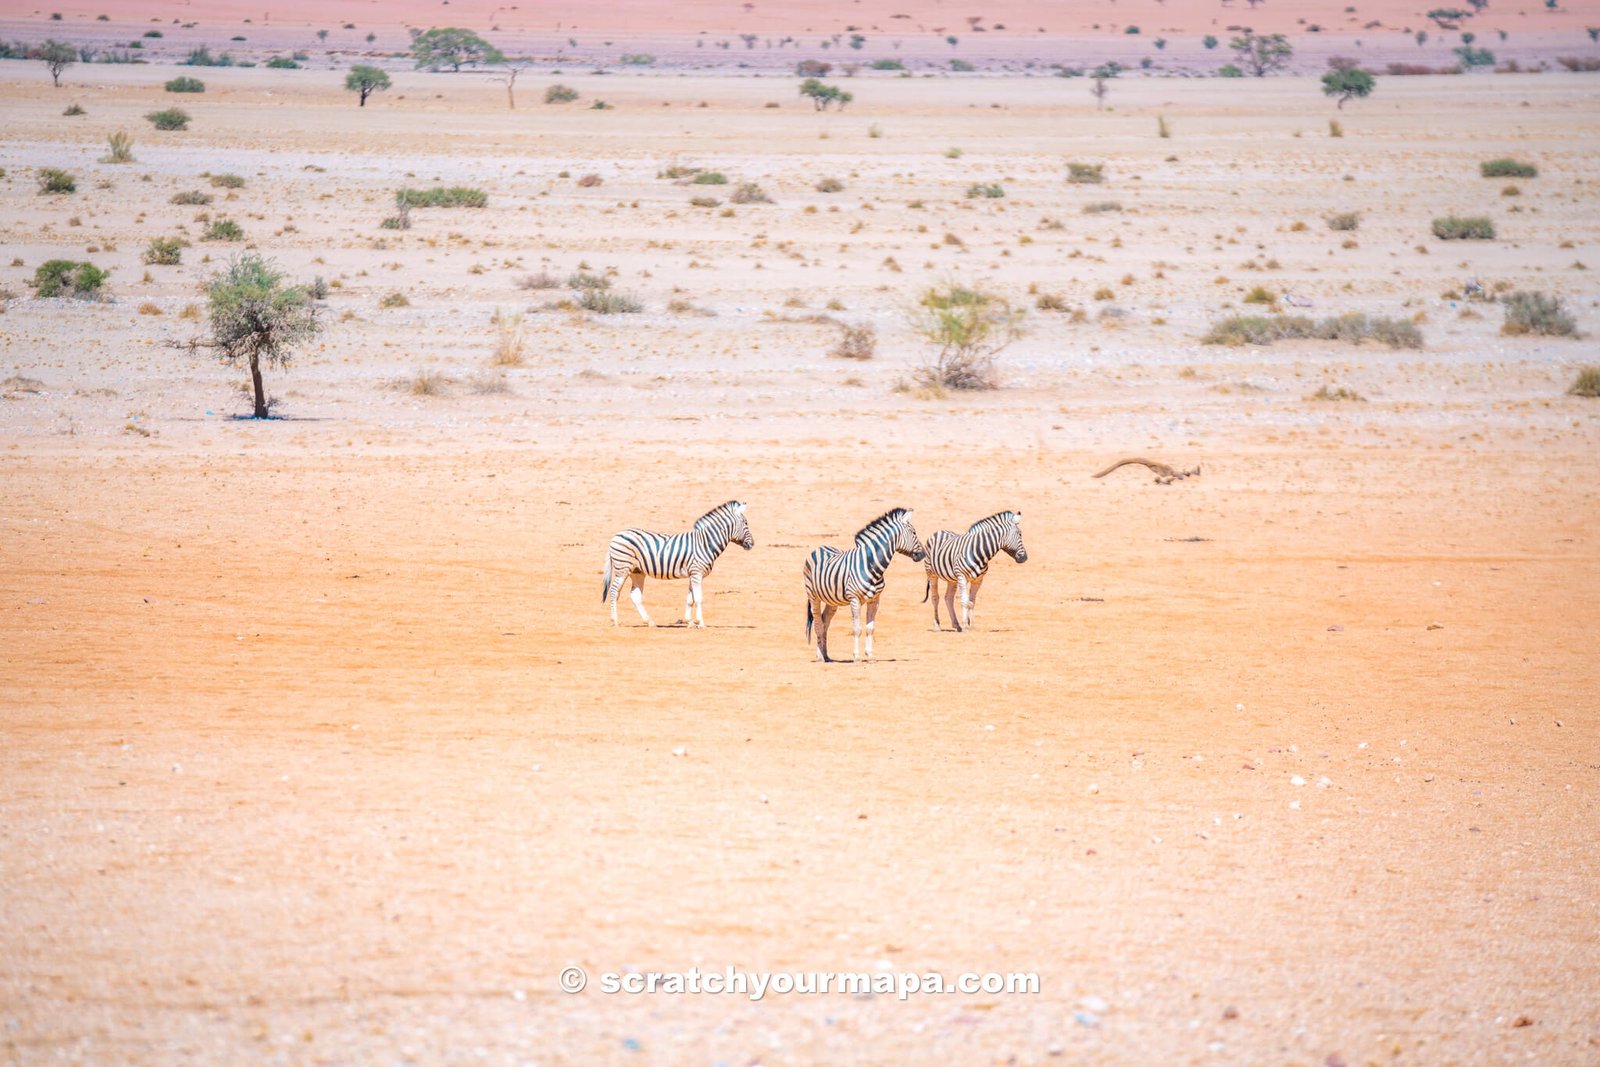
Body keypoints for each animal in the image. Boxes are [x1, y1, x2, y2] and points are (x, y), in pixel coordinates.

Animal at [601, 502, 752, 627]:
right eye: (745, 523)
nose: (752, 544)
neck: (705, 543)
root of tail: (616, 535)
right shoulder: (697, 573)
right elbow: (698, 598)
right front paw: (701, 623)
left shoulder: (693, 574)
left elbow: (690, 599)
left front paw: (690, 622)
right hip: (623, 568)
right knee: (614, 591)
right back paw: (615, 621)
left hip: (637, 571)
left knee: (635, 596)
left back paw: (649, 622)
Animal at [800, 508, 928, 662]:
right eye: (914, 532)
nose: (923, 554)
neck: (871, 564)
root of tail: (820, 548)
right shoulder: (854, 599)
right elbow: (857, 628)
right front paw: (856, 657)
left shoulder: (875, 600)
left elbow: (870, 627)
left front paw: (870, 655)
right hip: (813, 596)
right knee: (818, 623)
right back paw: (819, 657)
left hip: (832, 601)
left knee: (825, 622)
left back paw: (826, 655)